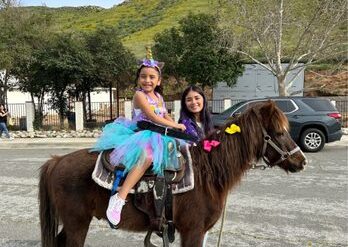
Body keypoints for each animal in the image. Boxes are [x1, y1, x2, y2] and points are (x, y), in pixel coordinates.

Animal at [38, 101, 306, 246]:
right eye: (279, 132)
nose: (301, 161)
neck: (206, 173)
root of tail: (57, 161)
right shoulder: (193, 231)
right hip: (77, 223)